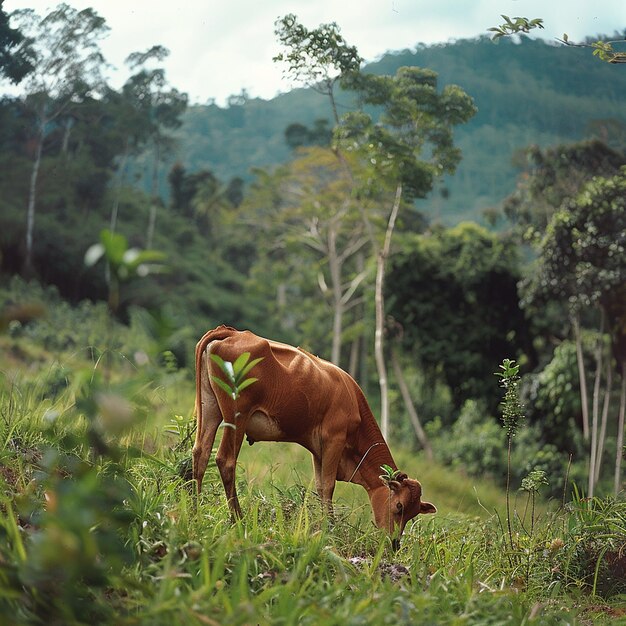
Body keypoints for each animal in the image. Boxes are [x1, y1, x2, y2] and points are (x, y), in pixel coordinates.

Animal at [191, 324, 434, 544]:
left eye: (412, 515)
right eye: (398, 506)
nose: (394, 543)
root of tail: (231, 332)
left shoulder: (319, 450)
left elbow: (319, 486)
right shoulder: (334, 439)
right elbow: (328, 486)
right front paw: (331, 529)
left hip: (210, 406)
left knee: (201, 453)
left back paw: (195, 510)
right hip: (237, 415)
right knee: (225, 460)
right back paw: (238, 519)